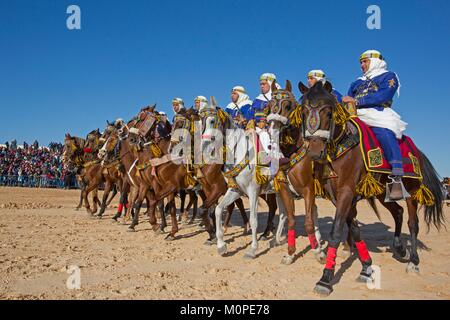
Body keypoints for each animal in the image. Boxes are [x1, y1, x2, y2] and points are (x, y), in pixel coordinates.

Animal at [300, 81, 444, 296]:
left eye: (329, 112)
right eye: (303, 111)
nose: (315, 151)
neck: (341, 148)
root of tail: (416, 150)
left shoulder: (346, 192)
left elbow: (336, 231)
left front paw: (325, 279)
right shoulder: (339, 196)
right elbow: (355, 230)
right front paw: (366, 268)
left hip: (411, 192)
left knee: (413, 223)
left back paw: (413, 262)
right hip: (383, 193)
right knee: (398, 212)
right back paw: (399, 248)